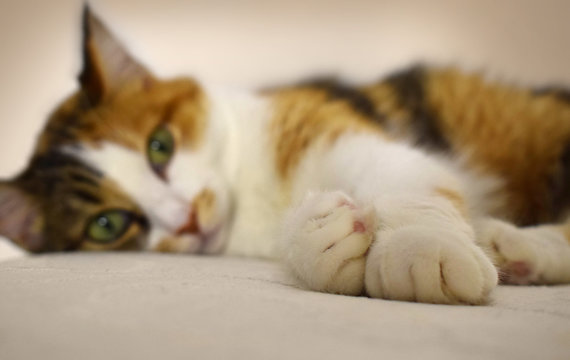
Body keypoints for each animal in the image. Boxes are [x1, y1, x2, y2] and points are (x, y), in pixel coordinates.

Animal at [1, 5, 568, 304]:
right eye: (107, 225)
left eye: (159, 145)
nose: (186, 219)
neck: (251, 196)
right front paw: (323, 236)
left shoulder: (335, 129)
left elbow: (407, 185)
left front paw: (420, 250)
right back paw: (517, 250)